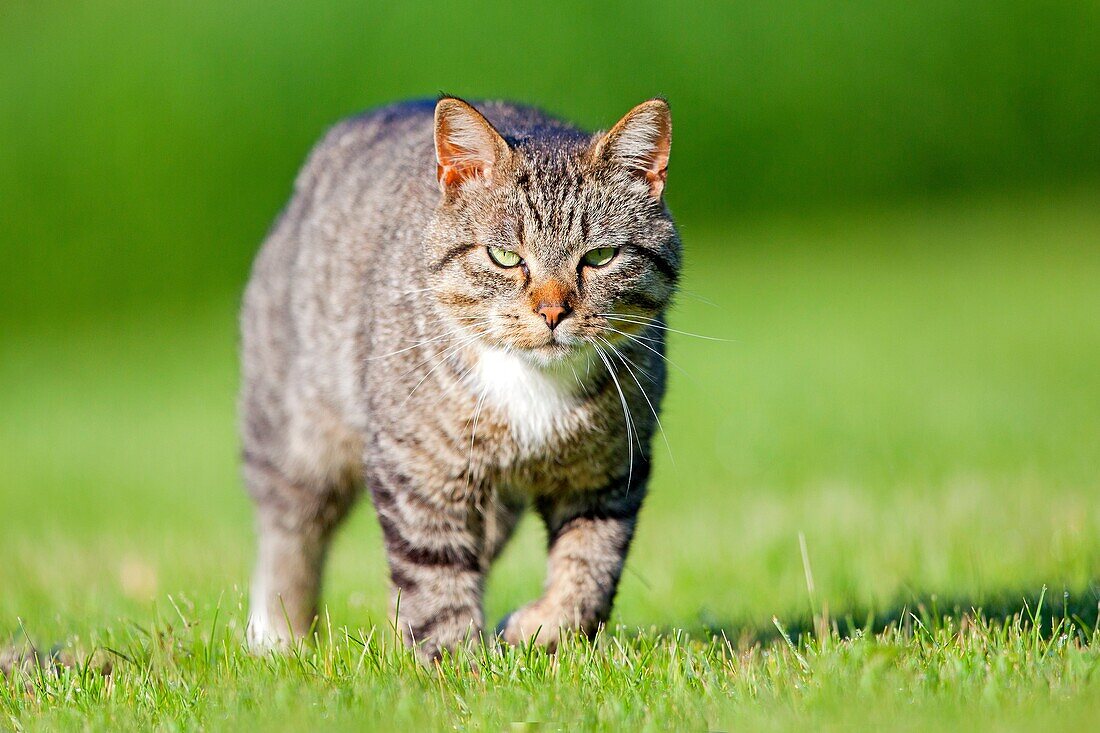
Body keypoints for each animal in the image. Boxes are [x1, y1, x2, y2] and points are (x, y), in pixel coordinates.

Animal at [240, 94, 677, 660]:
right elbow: (434, 572)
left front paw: (539, 629)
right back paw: (278, 635)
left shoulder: (608, 471)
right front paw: (455, 662)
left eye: (600, 257)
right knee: (291, 526)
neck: (533, 384)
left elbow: (589, 569)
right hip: (295, 425)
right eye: (505, 256)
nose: (552, 311)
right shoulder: (421, 470)